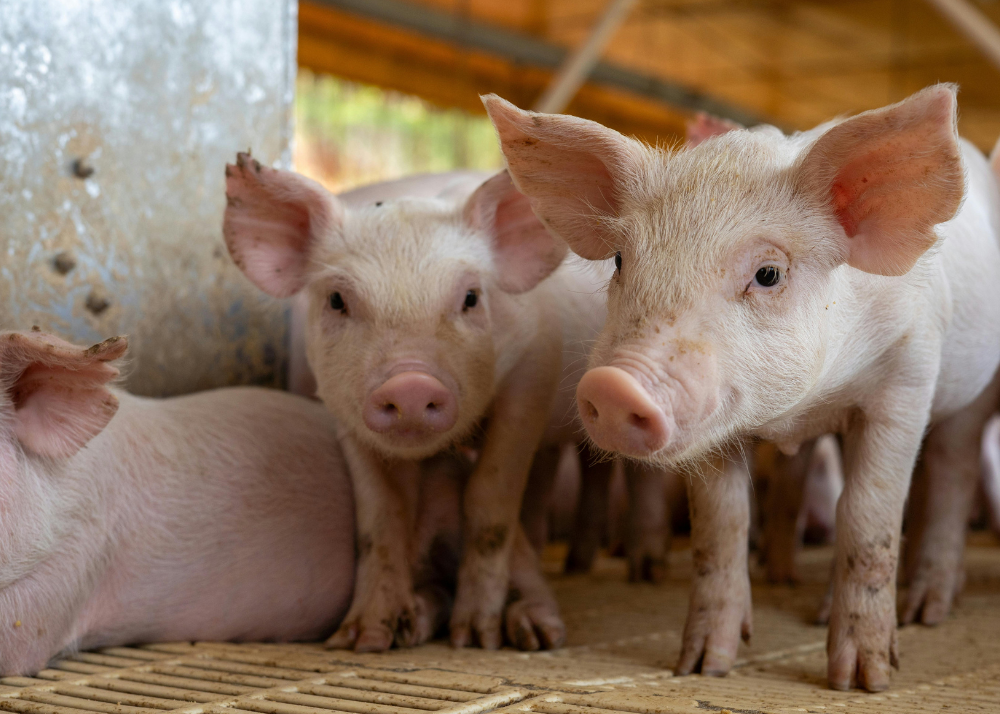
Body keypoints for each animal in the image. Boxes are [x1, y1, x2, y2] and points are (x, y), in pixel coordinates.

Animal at [224, 155, 611, 652]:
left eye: (471, 298)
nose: (409, 384)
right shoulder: (342, 411)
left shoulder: (532, 374)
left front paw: (475, 637)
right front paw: (362, 639)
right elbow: (380, 516)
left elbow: (490, 497)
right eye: (337, 300)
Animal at [484, 85, 1000, 691]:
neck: (801, 409)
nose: (614, 386)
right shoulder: (713, 425)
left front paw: (862, 681)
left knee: (951, 474)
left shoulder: (908, 375)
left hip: (973, 397)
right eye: (619, 259)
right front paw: (703, 667)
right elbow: (721, 524)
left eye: (769, 273)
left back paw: (926, 610)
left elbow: (868, 515)